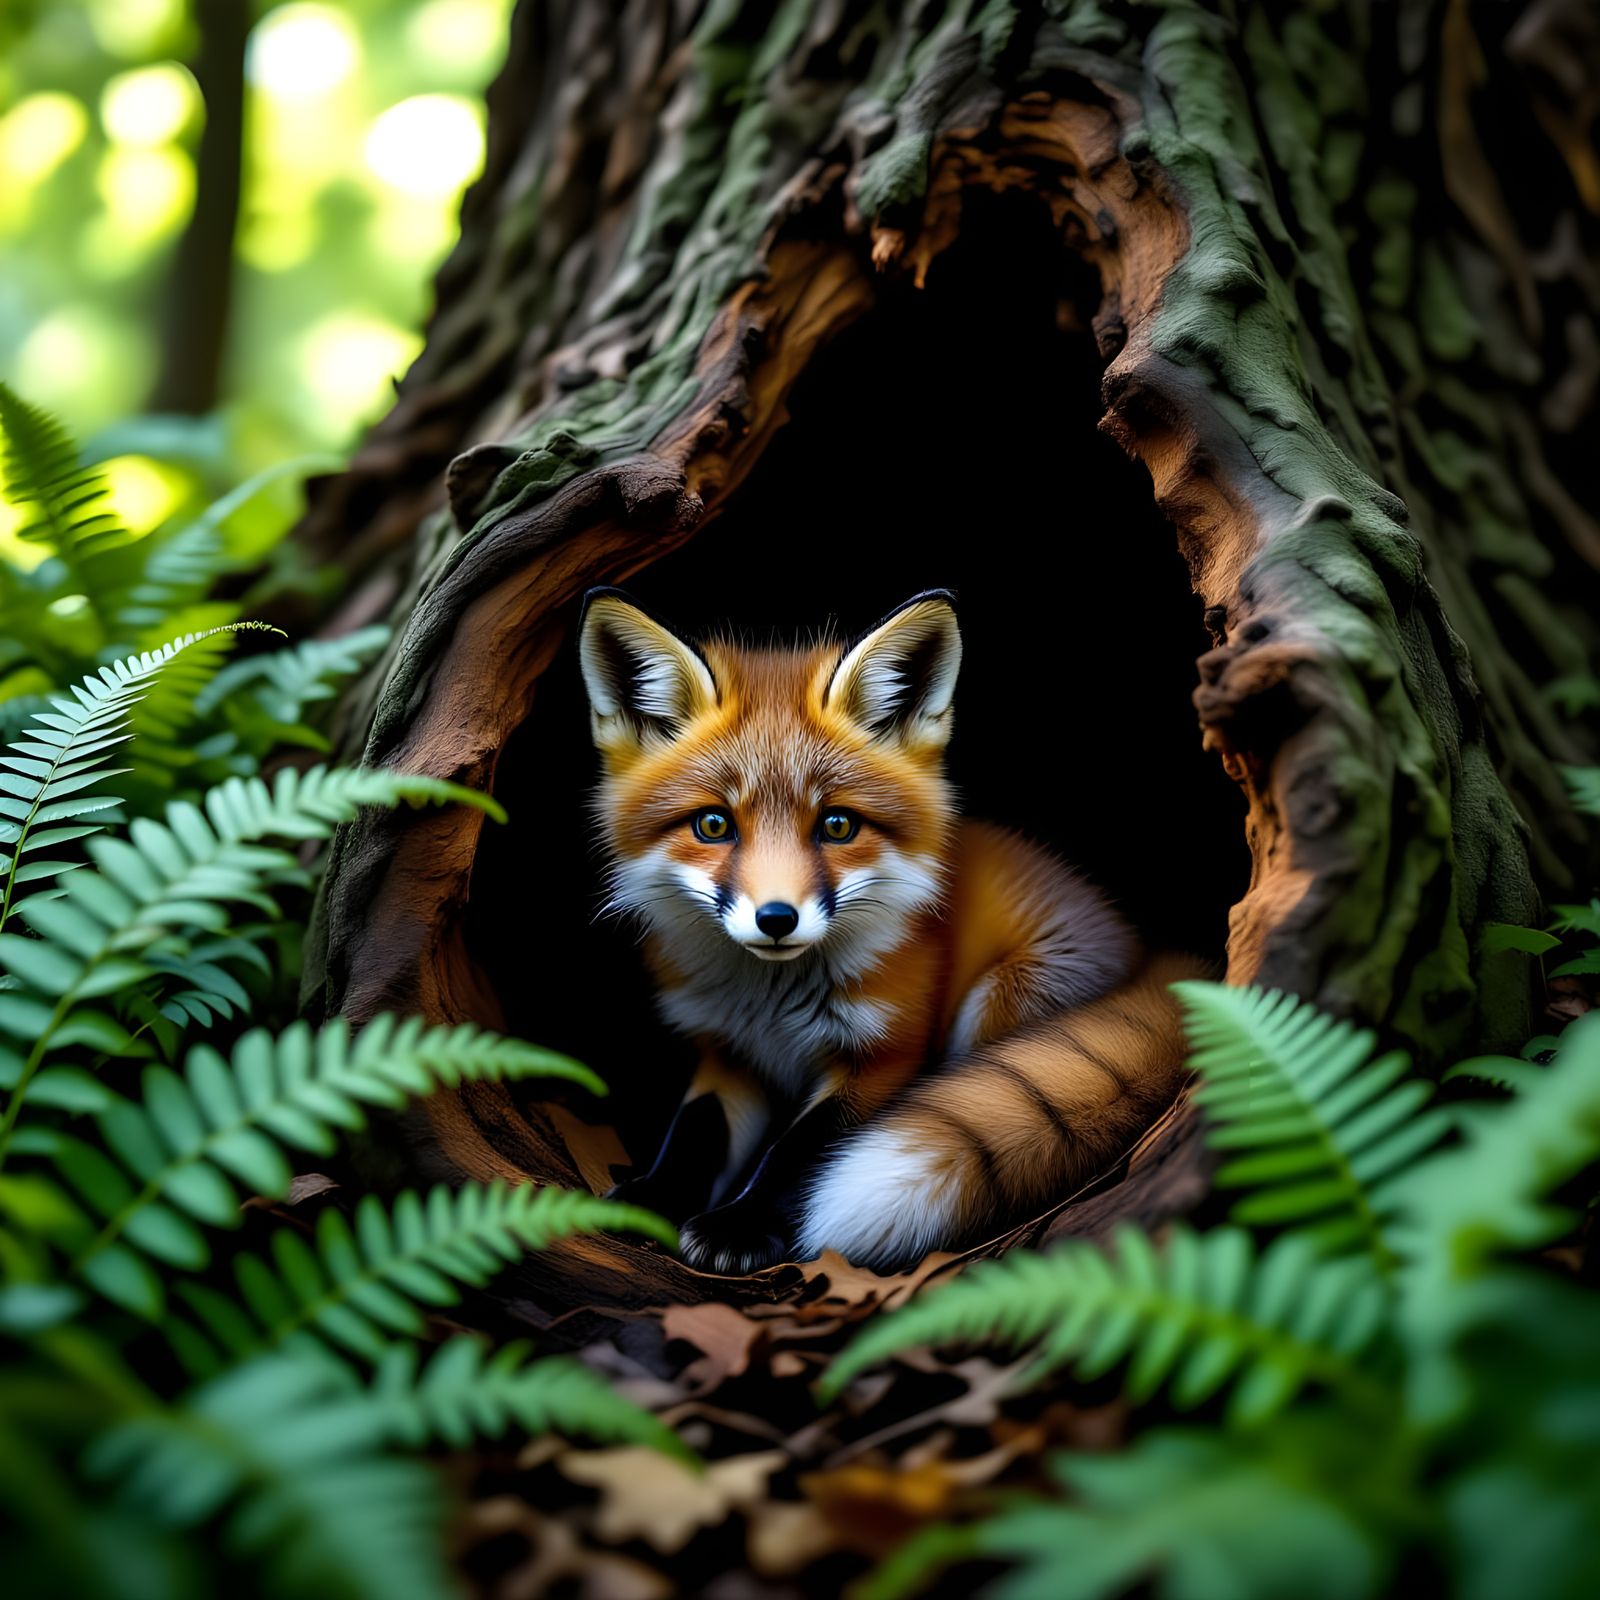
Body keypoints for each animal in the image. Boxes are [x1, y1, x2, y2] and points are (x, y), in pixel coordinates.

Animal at [578, 585, 1198, 1274]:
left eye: (838, 826)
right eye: (713, 825)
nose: (776, 919)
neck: (771, 1005)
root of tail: (1151, 952)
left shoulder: (885, 1056)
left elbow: (798, 1151)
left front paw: (741, 1226)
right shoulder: (727, 1052)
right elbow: (693, 1134)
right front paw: (650, 1200)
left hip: (1000, 1001)